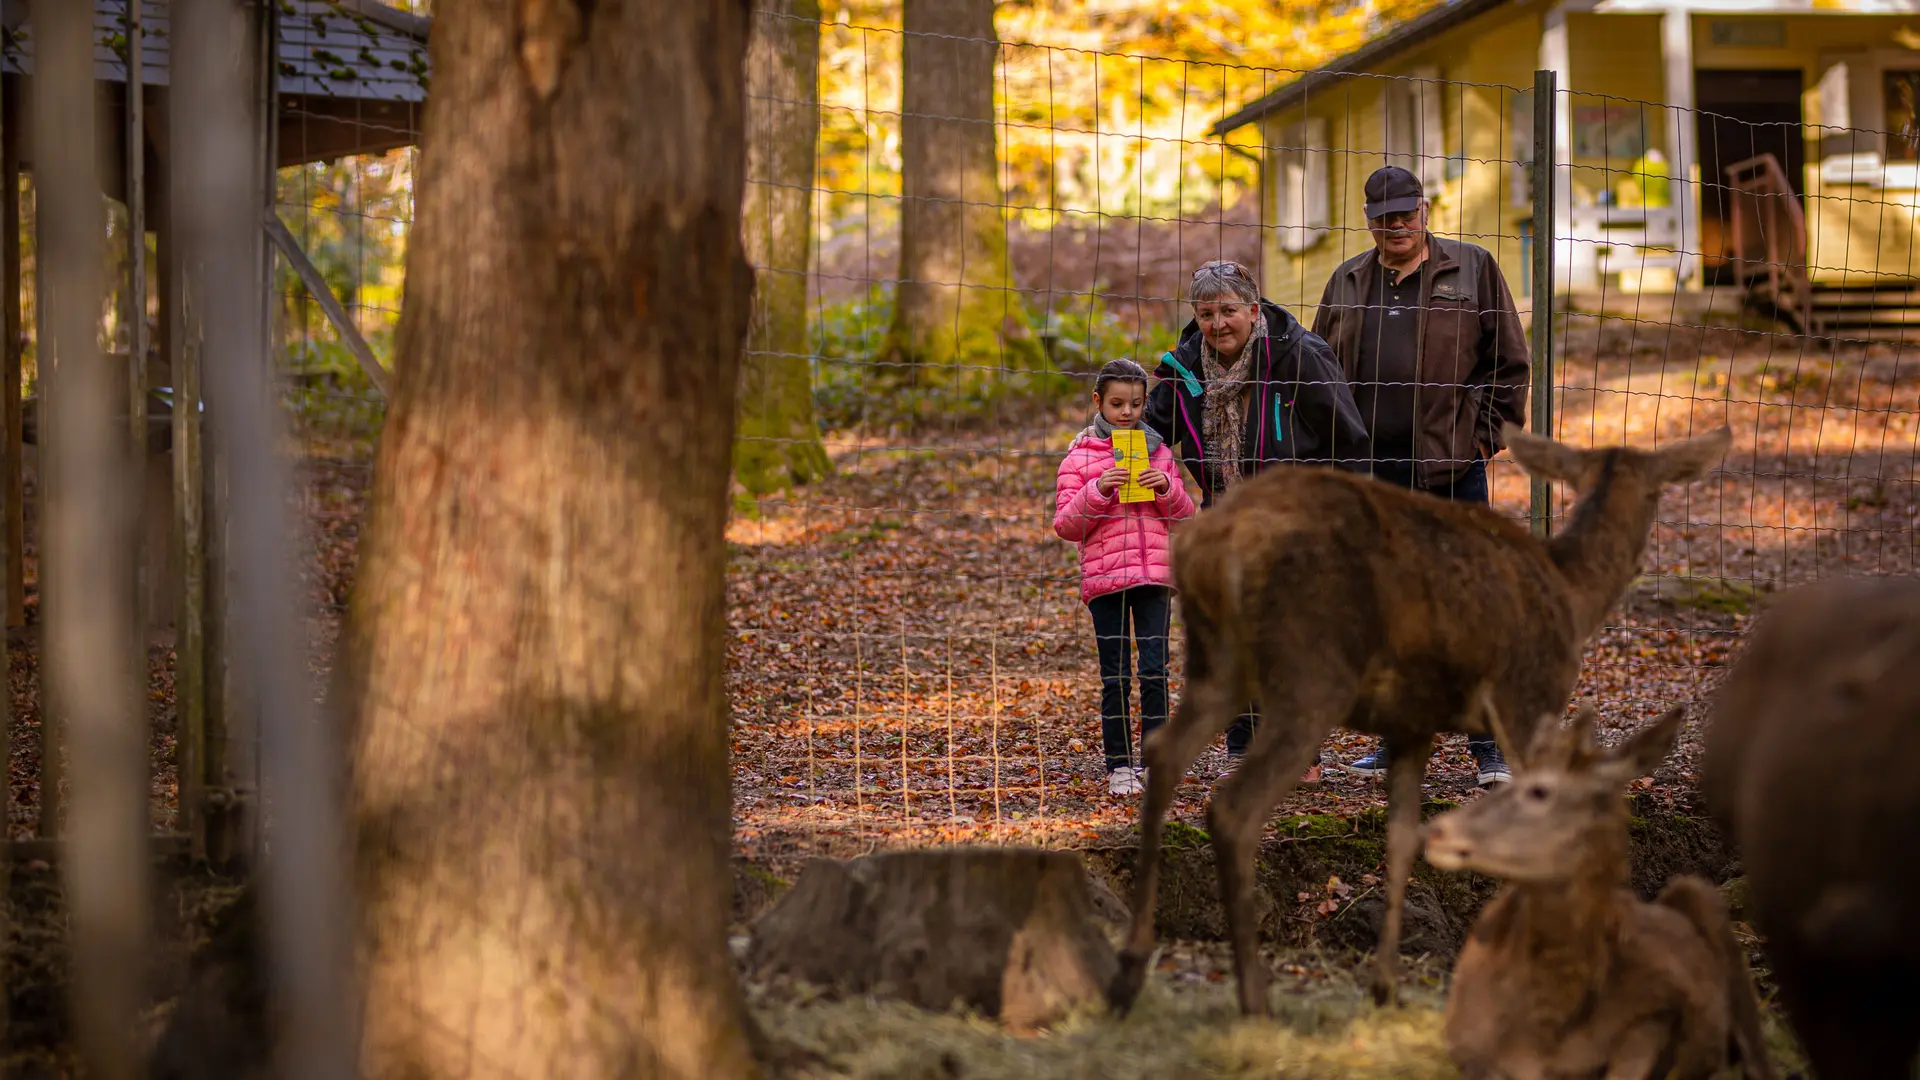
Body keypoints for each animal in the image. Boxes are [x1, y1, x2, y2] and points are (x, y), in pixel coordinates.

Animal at [1105, 420, 1735, 1006]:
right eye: (1658, 490)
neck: (1573, 596)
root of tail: (1217, 543)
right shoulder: (1528, 696)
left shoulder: (1411, 722)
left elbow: (1403, 838)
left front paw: (1384, 986)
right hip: (1311, 669)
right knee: (1235, 806)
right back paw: (1254, 999)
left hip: (1218, 662)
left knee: (1165, 752)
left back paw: (1130, 971)